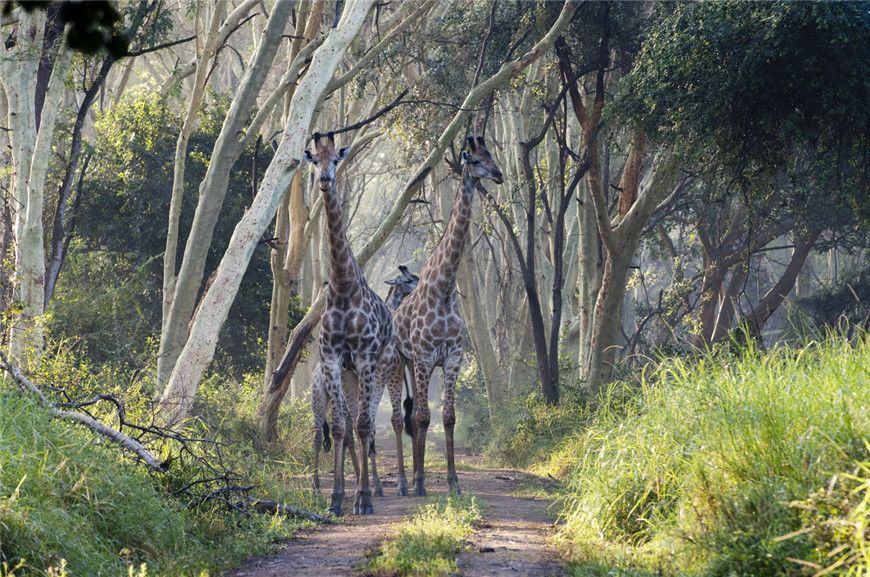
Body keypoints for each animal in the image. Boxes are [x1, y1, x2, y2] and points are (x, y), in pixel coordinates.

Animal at [314, 266, 422, 496]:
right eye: (409, 279)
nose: (420, 287)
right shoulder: (385, 376)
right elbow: (378, 424)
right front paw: (385, 484)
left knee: (346, 430)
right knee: (348, 429)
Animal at [390, 136, 500, 496]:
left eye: (492, 155)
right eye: (475, 160)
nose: (499, 175)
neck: (444, 288)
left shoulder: (452, 357)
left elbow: (448, 417)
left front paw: (453, 481)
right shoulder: (425, 357)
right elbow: (424, 417)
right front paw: (422, 483)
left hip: (413, 365)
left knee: (412, 414)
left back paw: (413, 475)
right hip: (398, 362)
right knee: (404, 417)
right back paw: (406, 482)